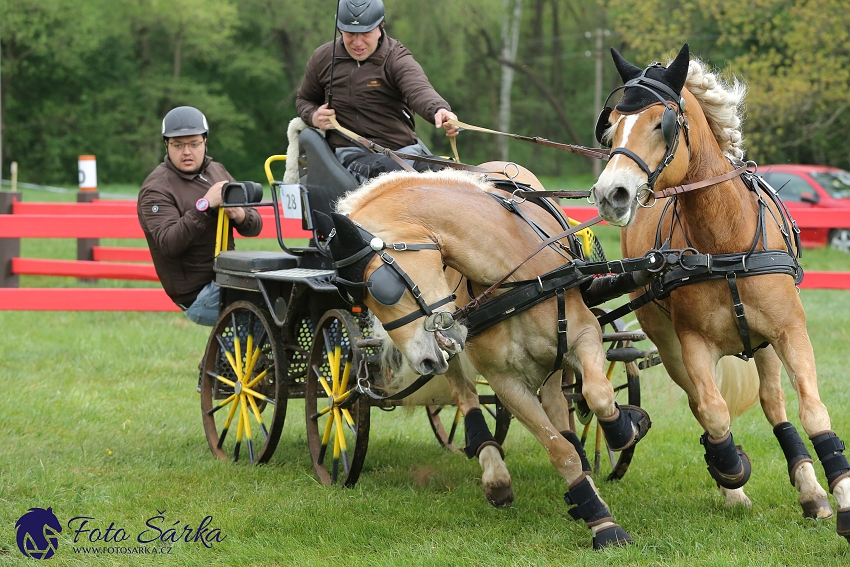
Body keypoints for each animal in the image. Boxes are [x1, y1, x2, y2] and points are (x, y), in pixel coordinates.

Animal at [314, 163, 652, 552]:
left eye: (382, 287)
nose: (422, 363)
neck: (516, 276)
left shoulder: (584, 336)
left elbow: (597, 394)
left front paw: (625, 428)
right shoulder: (504, 380)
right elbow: (557, 450)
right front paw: (601, 520)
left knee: (557, 398)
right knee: (467, 397)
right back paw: (493, 468)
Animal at [588, 44, 848, 540]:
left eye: (663, 123)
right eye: (611, 128)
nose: (612, 193)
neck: (723, 244)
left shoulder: (789, 332)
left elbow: (812, 410)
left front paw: (840, 495)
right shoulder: (692, 344)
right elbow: (713, 410)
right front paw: (730, 470)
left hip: (763, 343)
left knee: (774, 403)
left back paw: (810, 490)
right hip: (667, 342)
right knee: (701, 402)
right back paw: (732, 482)